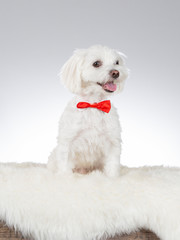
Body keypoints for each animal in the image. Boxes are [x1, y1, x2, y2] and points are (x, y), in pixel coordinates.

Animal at [47, 45, 129, 176]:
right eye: (96, 63)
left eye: (117, 62)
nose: (116, 72)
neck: (93, 105)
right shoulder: (67, 142)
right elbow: (64, 164)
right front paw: (65, 177)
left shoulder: (112, 142)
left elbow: (112, 164)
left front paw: (112, 177)